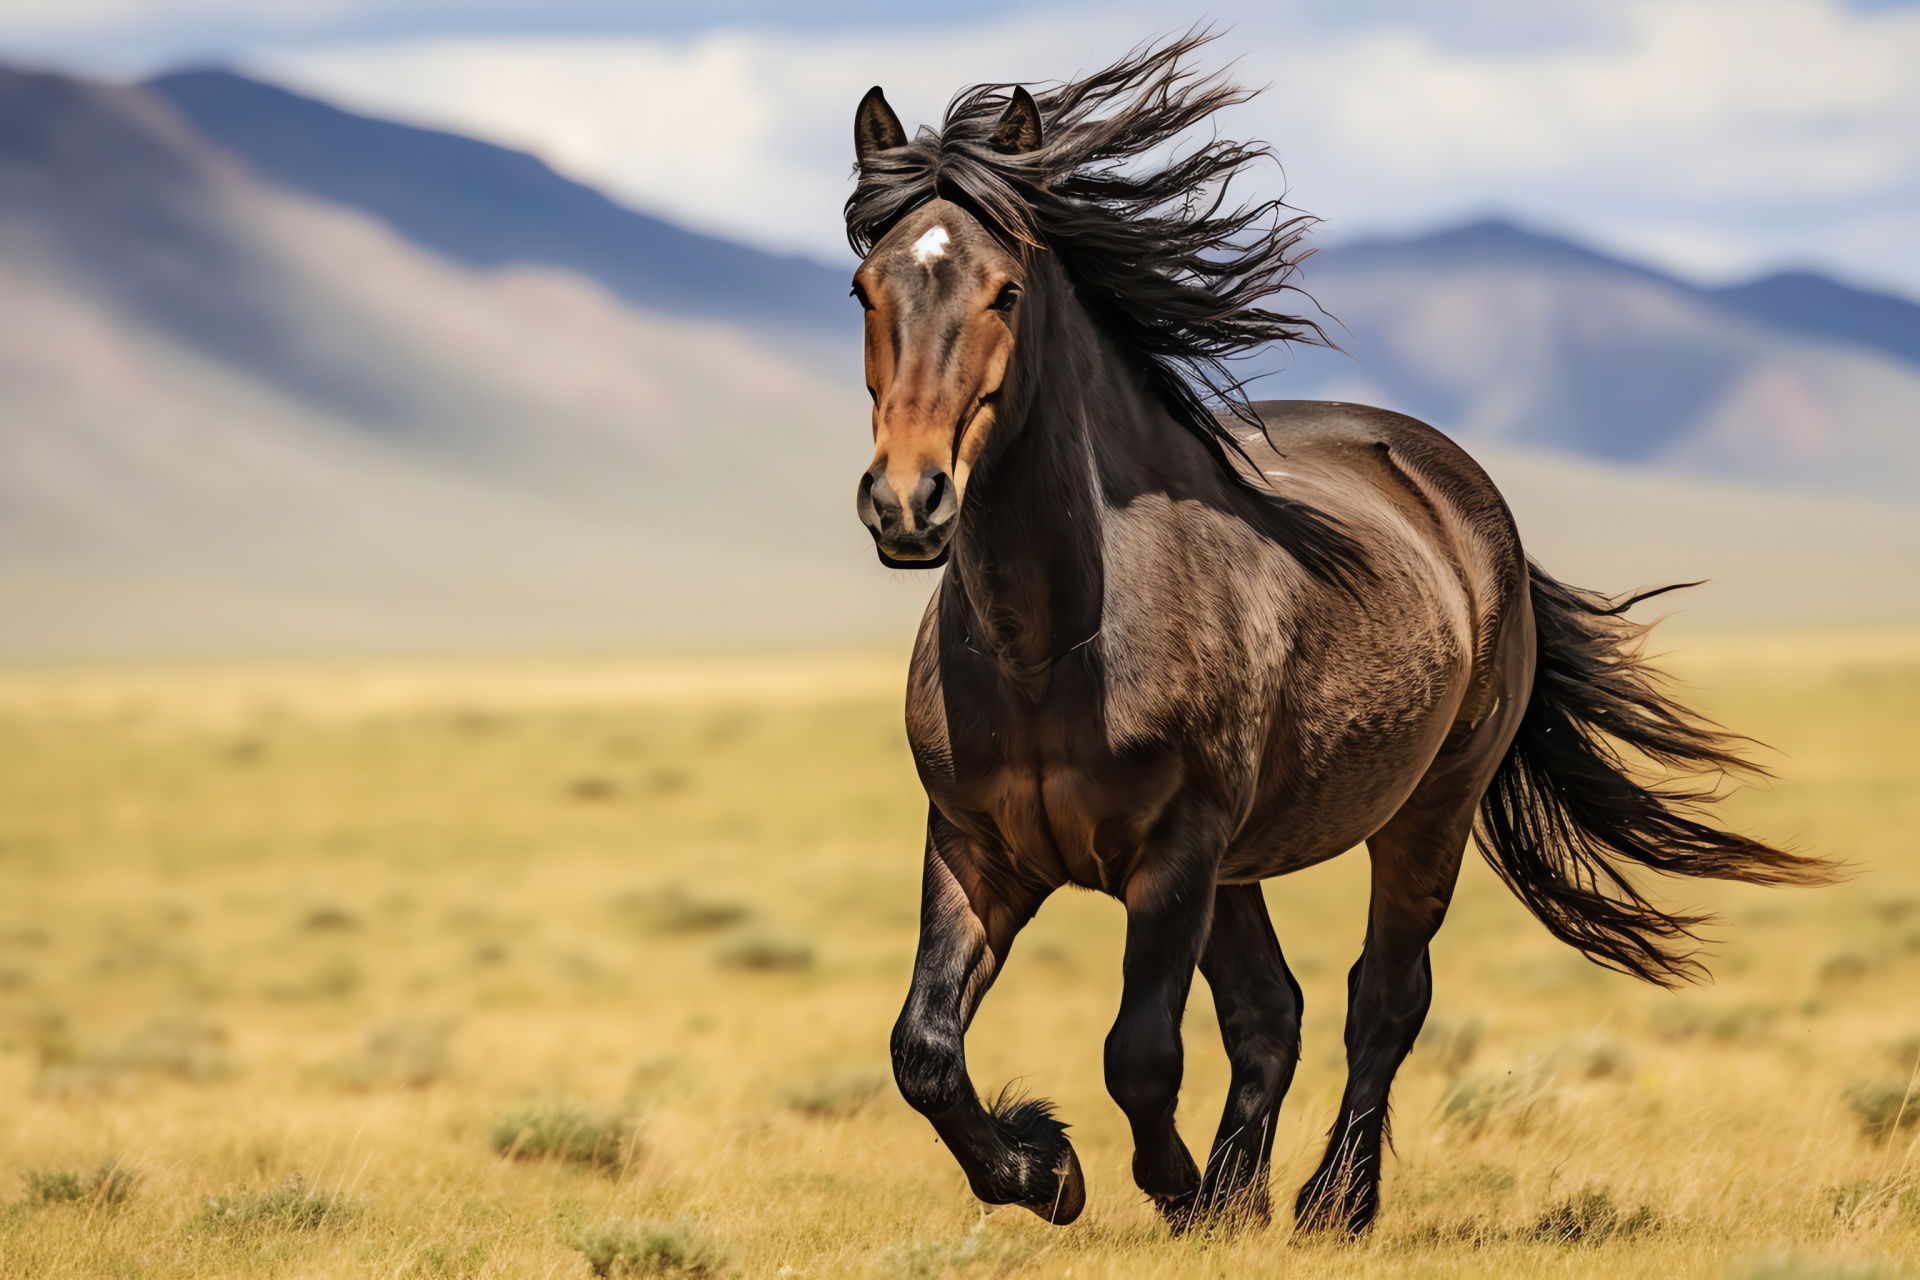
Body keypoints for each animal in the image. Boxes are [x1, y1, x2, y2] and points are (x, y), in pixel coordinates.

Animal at [844, 37, 1827, 1243]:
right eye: (864, 285)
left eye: (1007, 289)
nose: (908, 502)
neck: (1057, 644)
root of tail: (1460, 491)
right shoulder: (977, 848)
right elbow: (926, 1051)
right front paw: (1052, 1168)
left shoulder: (1175, 855)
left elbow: (1140, 1053)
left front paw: (1163, 1184)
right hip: (1240, 863)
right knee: (1275, 1010)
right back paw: (1244, 1192)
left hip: (1423, 814)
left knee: (1384, 997)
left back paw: (1331, 1200)